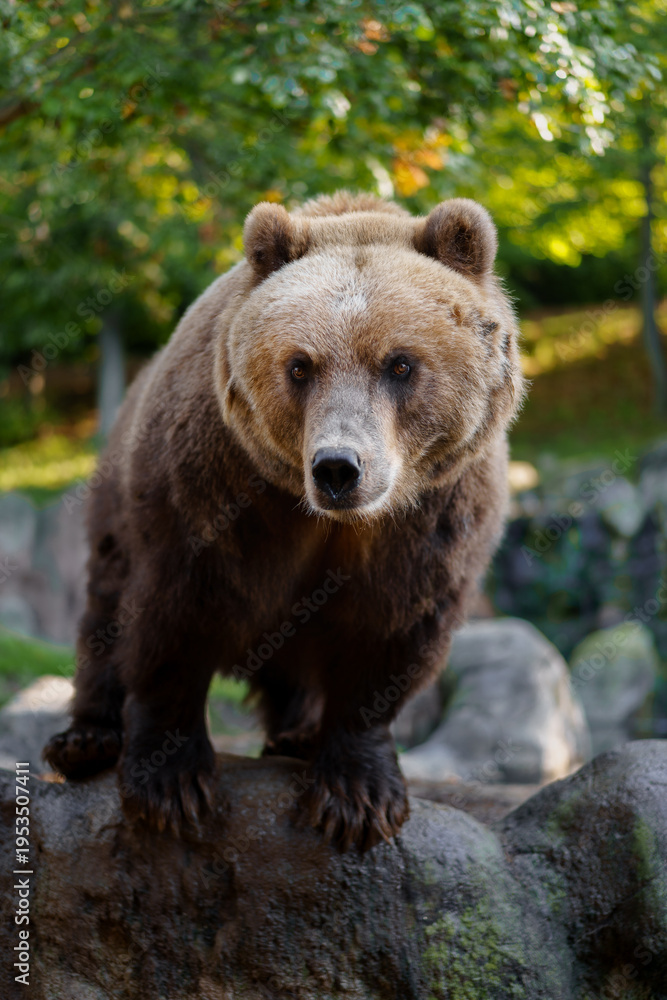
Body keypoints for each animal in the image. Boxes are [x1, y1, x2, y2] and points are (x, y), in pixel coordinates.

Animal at [43, 191, 524, 851]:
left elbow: (390, 632)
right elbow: (172, 618)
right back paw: (86, 739)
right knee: (107, 604)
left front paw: (357, 795)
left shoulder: (432, 518)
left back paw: (297, 737)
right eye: (301, 365)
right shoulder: (212, 489)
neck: (325, 518)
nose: (339, 468)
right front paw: (171, 783)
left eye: (399, 365)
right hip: (117, 496)